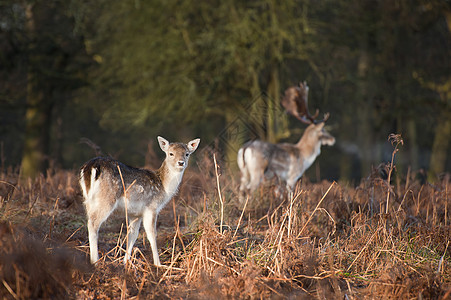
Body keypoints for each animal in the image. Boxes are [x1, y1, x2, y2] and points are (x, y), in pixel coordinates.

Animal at [80, 136, 200, 264]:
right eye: (171, 153)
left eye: (187, 154)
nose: (181, 162)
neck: (163, 187)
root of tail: (90, 167)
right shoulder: (151, 207)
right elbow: (152, 234)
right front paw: (158, 263)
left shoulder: (135, 213)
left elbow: (132, 234)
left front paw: (126, 262)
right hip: (106, 198)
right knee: (93, 223)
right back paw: (95, 261)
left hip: (88, 200)